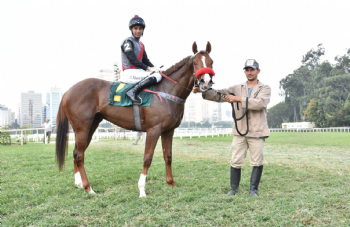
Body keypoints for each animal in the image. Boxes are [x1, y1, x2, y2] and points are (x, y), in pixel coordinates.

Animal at [56, 41, 215, 198]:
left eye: (211, 62)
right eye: (195, 62)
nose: (206, 82)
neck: (167, 91)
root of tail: (68, 91)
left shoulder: (169, 131)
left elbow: (168, 156)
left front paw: (171, 184)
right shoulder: (153, 130)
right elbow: (147, 157)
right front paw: (142, 190)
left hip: (90, 126)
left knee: (76, 152)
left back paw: (79, 184)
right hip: (82, 127)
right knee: (79, 155)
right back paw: (88, 188)